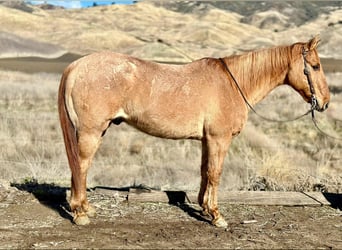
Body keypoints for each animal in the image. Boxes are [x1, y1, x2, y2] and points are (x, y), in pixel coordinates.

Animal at [58, 36, 332, 228]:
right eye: (315, 66)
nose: (325, 102)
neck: (233, 83)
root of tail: (76, 66)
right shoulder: (219, 140)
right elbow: (215, 174)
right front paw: (217, 216)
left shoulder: (206, 140)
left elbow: (204, 173)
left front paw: (204, 208)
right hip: (91, 132)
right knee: (80, 166)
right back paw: (80, 213)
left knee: (80, 168)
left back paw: (86, 208)